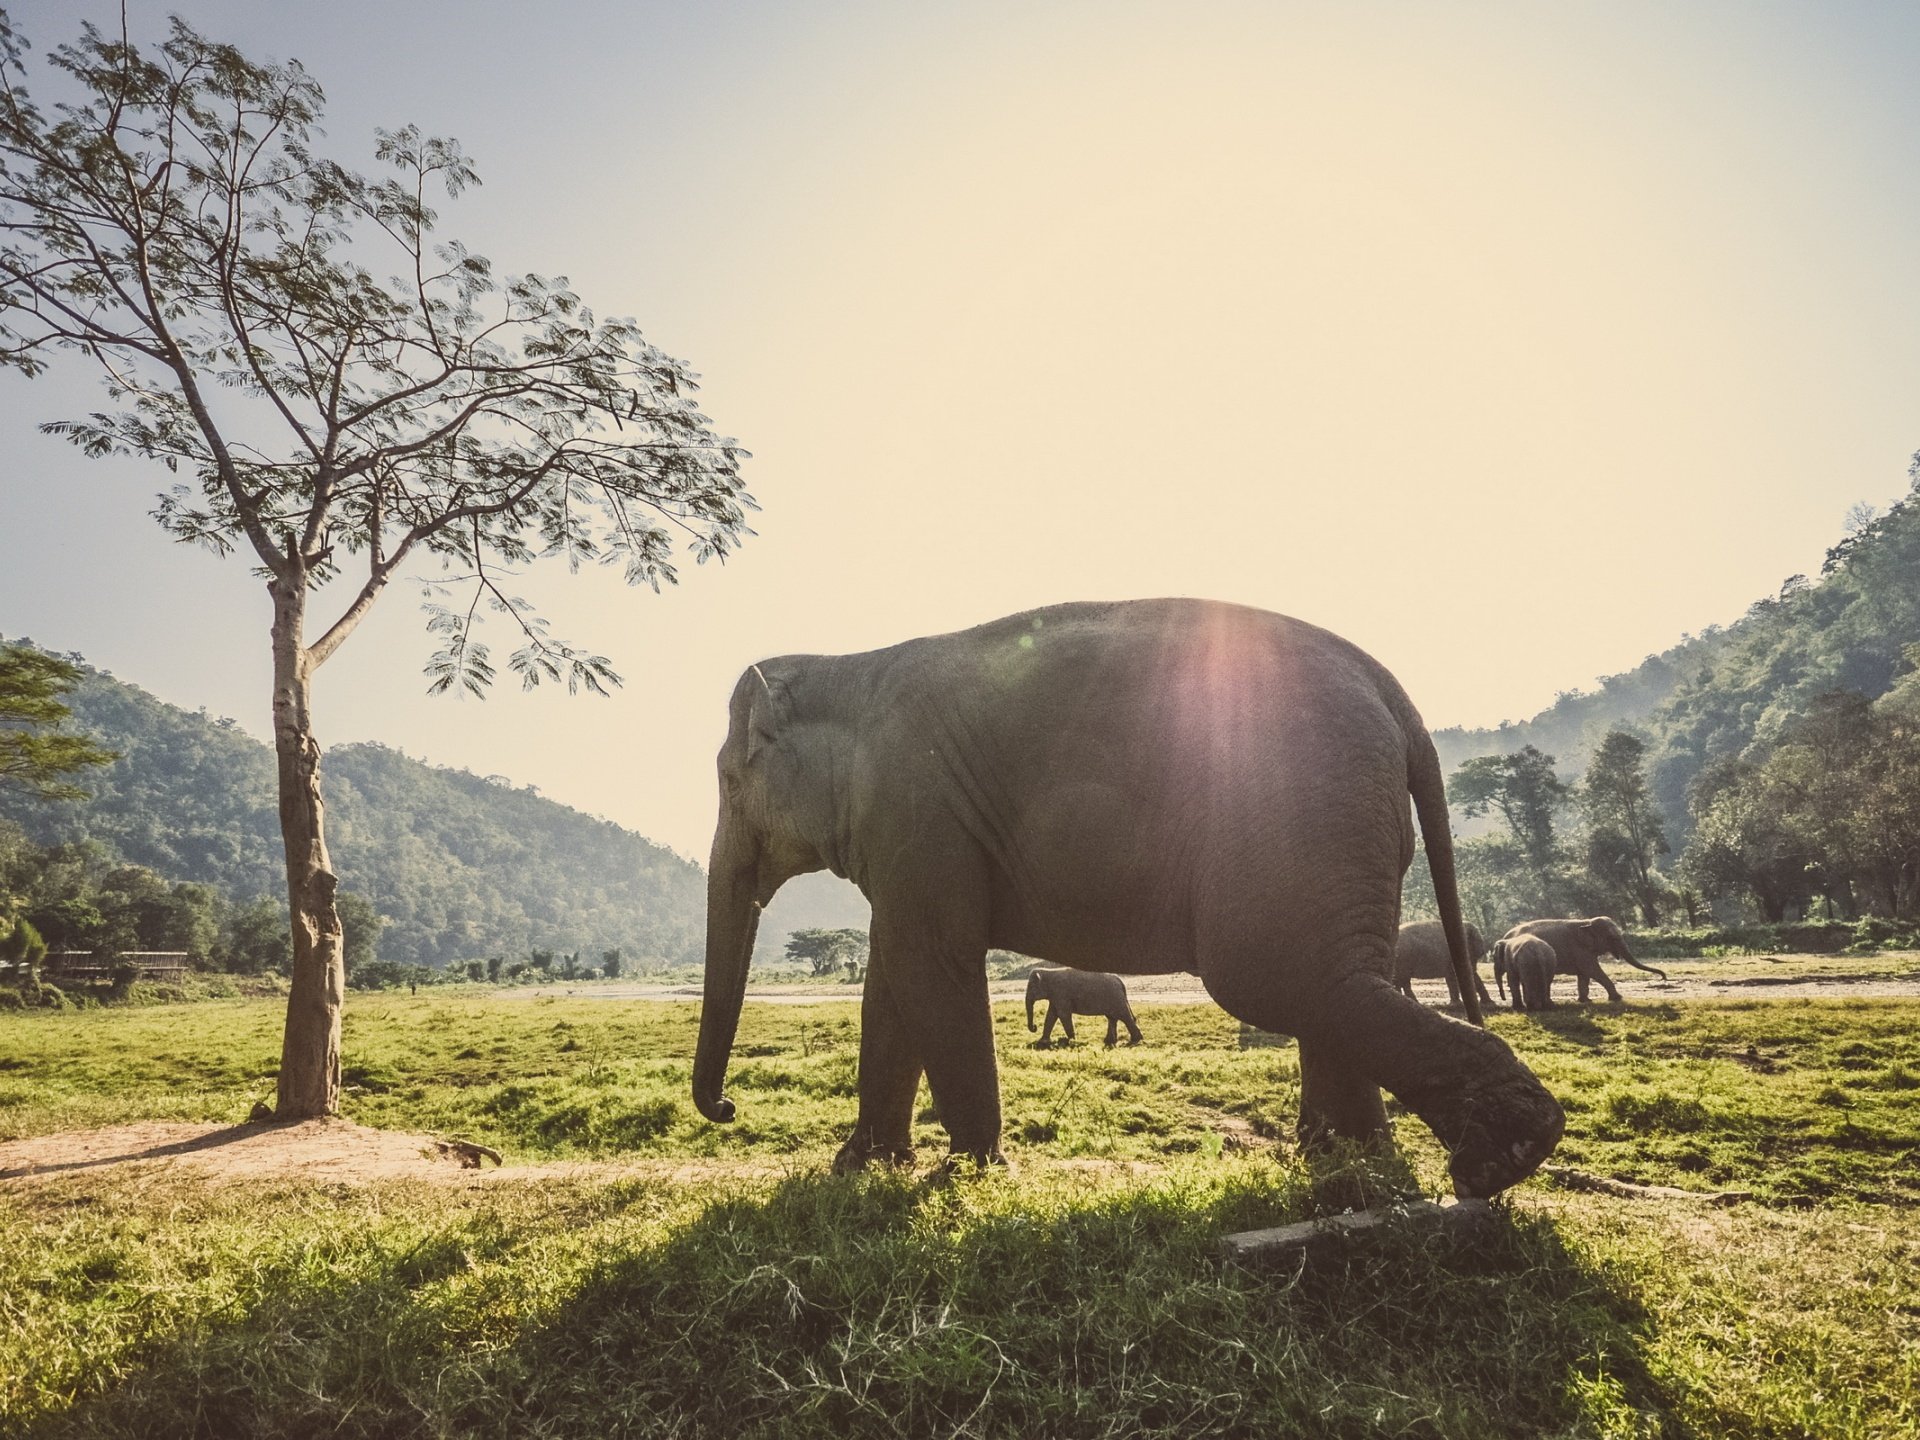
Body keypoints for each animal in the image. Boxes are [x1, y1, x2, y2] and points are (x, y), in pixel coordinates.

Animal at [692, 598, 1564, 1199]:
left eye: (729, 780)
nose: (727, 1107)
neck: (847, 664)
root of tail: (1396, 697)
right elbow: (894, 976)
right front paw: (860, 1168)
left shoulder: (918, 811)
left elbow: (931, 962)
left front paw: (968, 1176)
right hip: (1353, 829)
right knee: (1340, 976)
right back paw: (1349, 1169)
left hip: (1305, 810)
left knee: (1281, 976)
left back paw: (1499, 1157)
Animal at [1495, 916, 1668, 1003]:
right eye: (1612, 938)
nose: (1664, 977)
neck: (1587, 922)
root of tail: (1505, 934)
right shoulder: (1580, 950)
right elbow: (1592, 970)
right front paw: (1618, 998)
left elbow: (1585, 975)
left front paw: (1585, 1000)